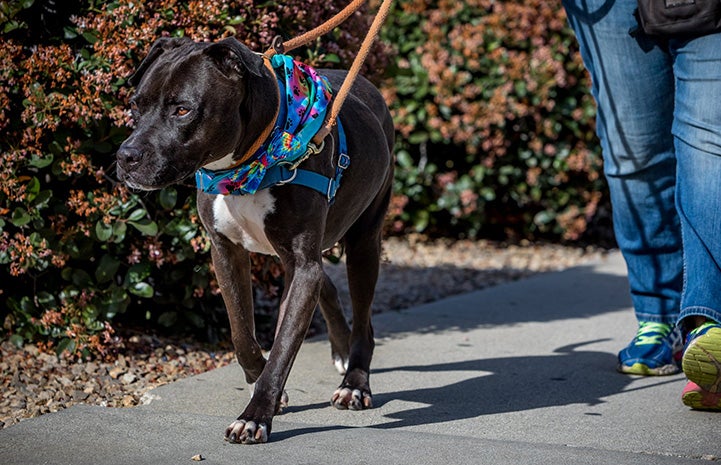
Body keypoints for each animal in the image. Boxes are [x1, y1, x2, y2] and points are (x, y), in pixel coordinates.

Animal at [116, 36, 394, 442]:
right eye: (135, 106)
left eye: (182, 110)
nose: (126, 156)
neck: (246, 166)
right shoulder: (226, 252)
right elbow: (241, 333)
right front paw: (260, 383)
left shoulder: (301, 262)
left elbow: (282, 347)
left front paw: (255, 416)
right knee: (323, 284)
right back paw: (341, 353)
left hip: (364, 242)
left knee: (362, 316)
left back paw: (355, 382)